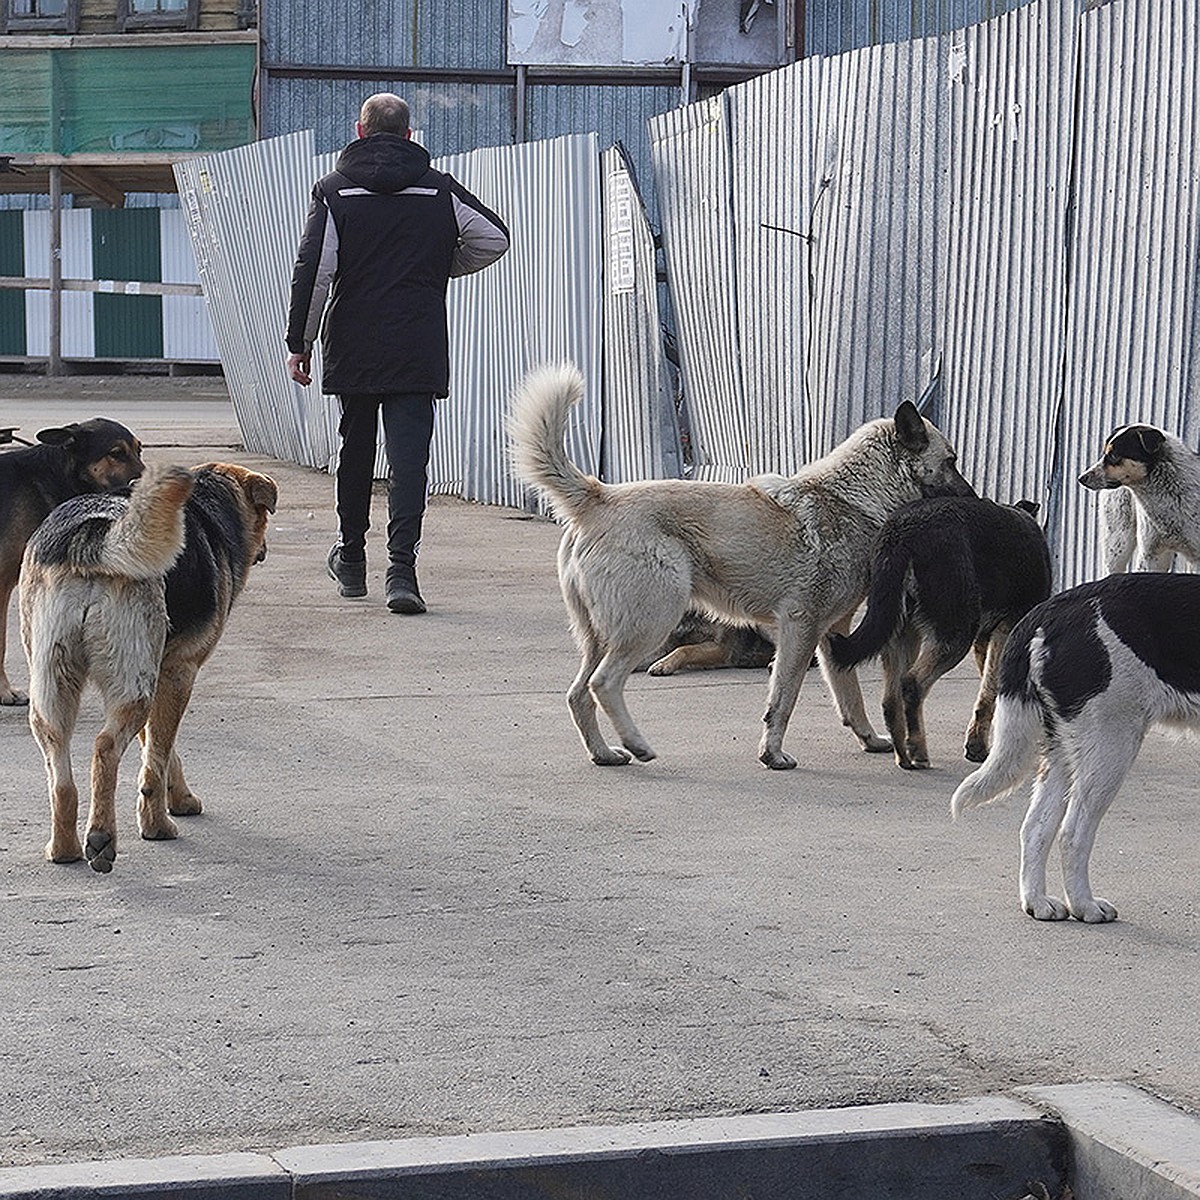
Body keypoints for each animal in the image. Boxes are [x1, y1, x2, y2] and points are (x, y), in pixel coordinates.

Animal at [21, 458, 276, 873]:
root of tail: (90, 535)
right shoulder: (178, 672)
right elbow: (157, 756)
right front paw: (159, 818)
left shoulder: (161, 675)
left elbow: (158, 748)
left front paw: (180, 797)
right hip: (132, 685)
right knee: (104, 748)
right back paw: (105, 838)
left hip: (52, 685)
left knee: (60, 773)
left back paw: (64, 848)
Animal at [506, 360, 974, 768]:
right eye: (950, 461)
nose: (974, 499)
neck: (855, 496)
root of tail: (598, 496)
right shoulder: (800, 630)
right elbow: (783, 699)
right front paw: (773, 754)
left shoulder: (831, 634)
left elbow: (849, 695)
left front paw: (869, 738)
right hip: (650, 622)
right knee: (603, 684)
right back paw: (637, 744)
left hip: (599, 636)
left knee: (577, 694)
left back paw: (604, 753)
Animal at [825, 494, 1051, 768]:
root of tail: (900, 533)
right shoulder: (1005, 631)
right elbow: (989, 693)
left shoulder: (985, 640)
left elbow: (989, 691)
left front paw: (977, 742)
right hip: (956, 634)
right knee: (912, 684)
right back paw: (918, 749)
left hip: (902, 632)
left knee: (891, 700)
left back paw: (904, 755)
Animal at [950, 568, 1195, 916]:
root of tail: (1050, 609)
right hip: (1111, 744)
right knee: (1073, 832)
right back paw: (1085, 905)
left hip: (1065, 750)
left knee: (1036, 828)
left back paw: (1038, 903)